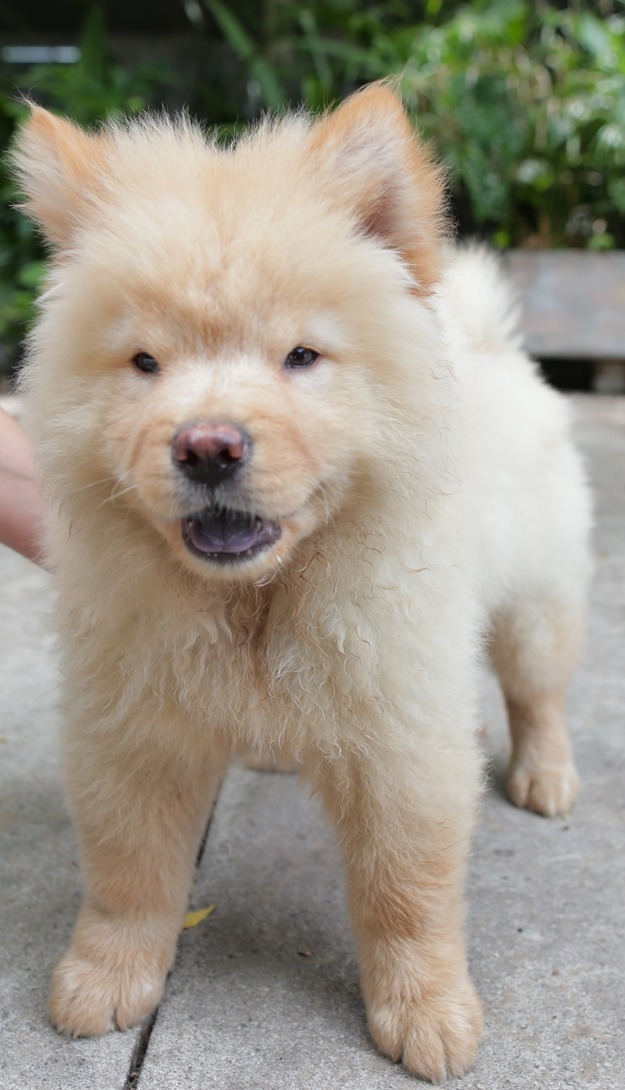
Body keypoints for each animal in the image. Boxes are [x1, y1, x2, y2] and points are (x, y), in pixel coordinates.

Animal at [13, 85, 589, 1081]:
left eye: (300, 358)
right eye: (144, 363)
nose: (207, 446)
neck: (255, 603)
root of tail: (493, 348)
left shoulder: (403, 736)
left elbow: (407, 890)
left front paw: (426, 1014)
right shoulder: (129, 727)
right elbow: (128, 872)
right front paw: (104, 981)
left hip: (535, 600)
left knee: (537, 691)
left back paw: (545, 776)